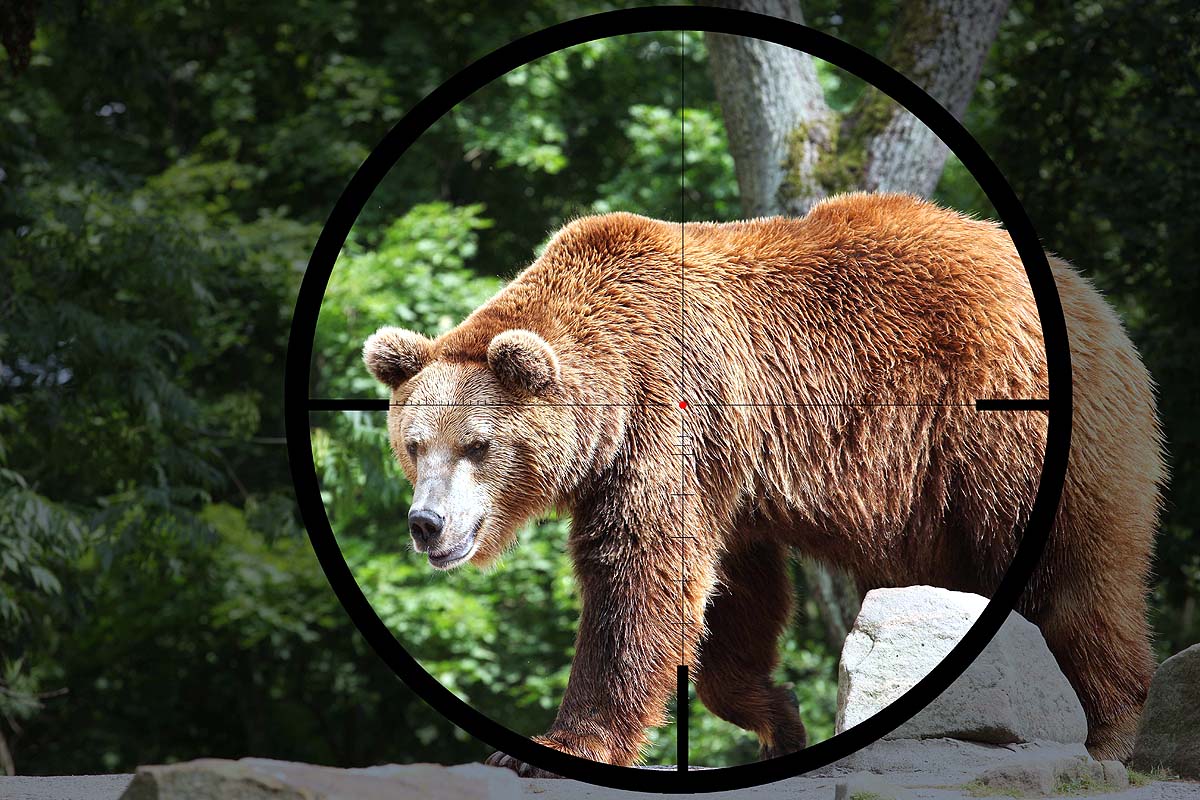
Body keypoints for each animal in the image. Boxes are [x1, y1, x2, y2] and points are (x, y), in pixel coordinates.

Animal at [362, 192, 1165, 775]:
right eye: (413, 445)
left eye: (478, 445)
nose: (427, 523)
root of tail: (1100, 304)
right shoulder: (730, 476)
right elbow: (732, 599)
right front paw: (779, 714)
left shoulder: (668, 418)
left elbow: (639, 578)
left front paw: (555, 745)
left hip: (1007, 433)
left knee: (1072, 575)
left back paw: (1106, 731)